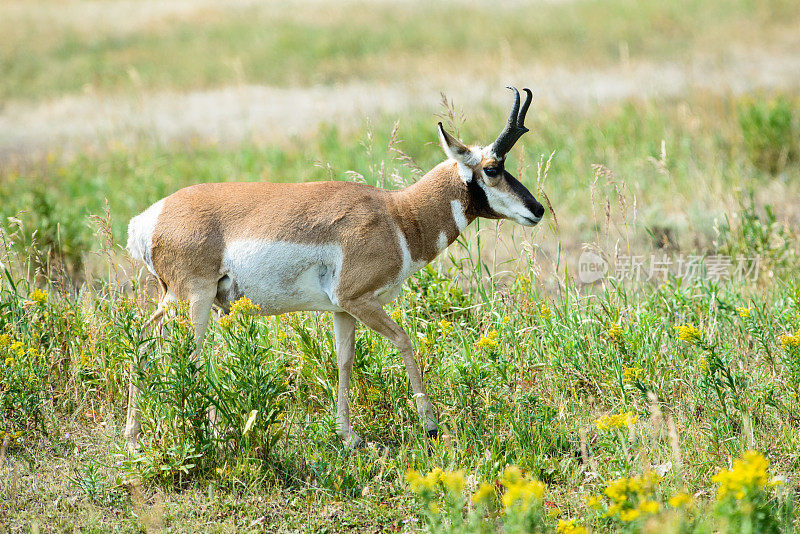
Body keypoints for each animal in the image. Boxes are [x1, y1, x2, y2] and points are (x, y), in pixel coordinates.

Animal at [125, 87, 548, 448]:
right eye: (492, 168)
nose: (538, 209)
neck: (398, 215)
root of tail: (150, 217)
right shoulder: (360, 300)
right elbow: (403, 340)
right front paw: (429, 425)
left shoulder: (342, 310)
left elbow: (344, 360)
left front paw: (348, 436)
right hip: (194, 301)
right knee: (189, 353)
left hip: (173, 300)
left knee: (144, 337)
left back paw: (133, 438)